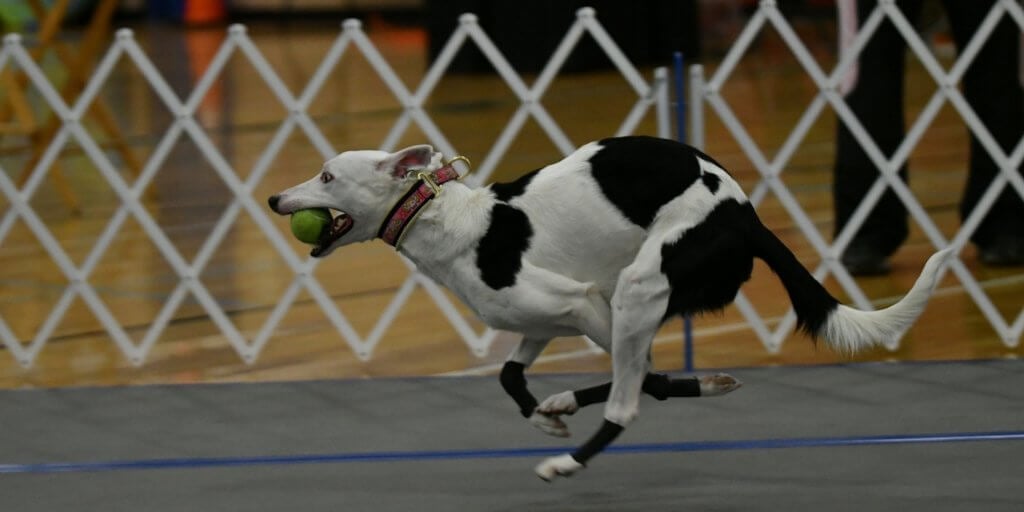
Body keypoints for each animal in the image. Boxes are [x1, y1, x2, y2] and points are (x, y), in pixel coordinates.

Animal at [266, 135, 950, 479]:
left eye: (326, 176)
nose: (274, 198)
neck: (461, 221)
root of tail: (747, 217)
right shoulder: (544, 320)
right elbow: (510, 373)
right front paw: (546, 412)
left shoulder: (583, 303)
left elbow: (645, 382)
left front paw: (563, 424)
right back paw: (569, 408)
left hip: (639, 289)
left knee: (628, 398)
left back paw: (568, 462)